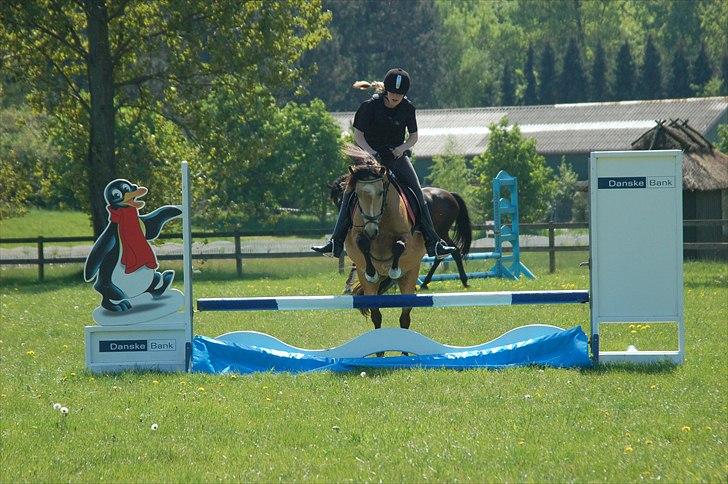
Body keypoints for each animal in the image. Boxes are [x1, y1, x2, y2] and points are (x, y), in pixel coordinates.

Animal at [328, 169, 472, 290]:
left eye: (342, 199)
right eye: (337, 201)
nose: (347, 220)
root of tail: (450, 194)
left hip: (440, 231)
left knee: (449, 251)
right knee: (449, 252)